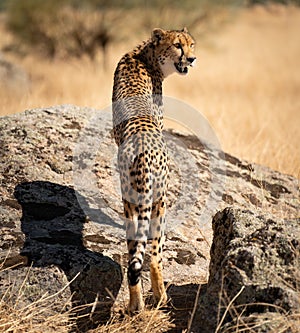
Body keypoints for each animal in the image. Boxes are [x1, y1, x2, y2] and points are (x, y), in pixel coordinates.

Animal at [111, 27, 196, 312]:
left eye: (192, 44)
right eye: (178, 45)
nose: (192, 59)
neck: (145, 53)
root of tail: (145, 155)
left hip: (130, 201)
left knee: (132, 260)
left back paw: (135, 306)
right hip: (159, 200)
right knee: (155, 256)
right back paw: (161, 298)